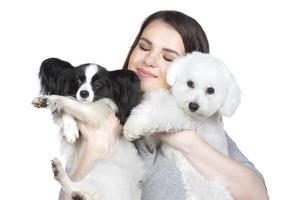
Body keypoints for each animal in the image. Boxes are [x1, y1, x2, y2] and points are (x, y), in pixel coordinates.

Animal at [32, 58, 144, 200]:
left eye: (98, 83)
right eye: (77, 81)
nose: (84, 93)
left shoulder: (96, 113)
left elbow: (69, 100)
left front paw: (48, 99)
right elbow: (66, 107)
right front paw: (70, 130)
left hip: (103, 171)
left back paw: (60, 172)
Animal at [123, 52, 241, 200]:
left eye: (211, 90)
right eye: (190, 83)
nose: (193, 105)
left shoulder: (183, 119)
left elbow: (158, 112)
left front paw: (133, 125)